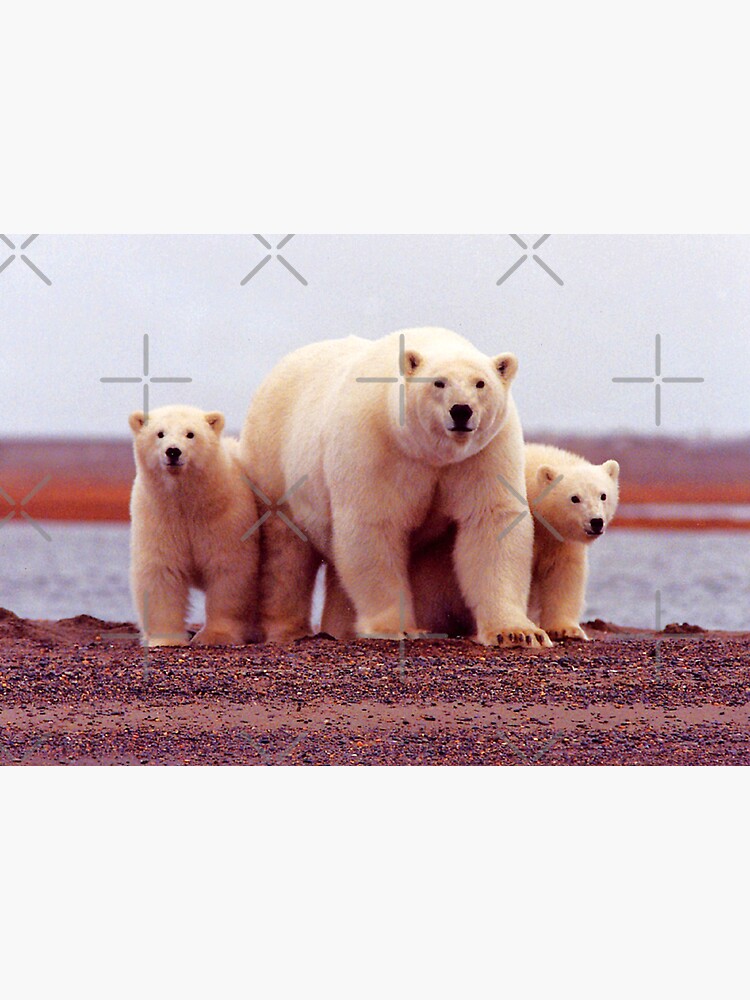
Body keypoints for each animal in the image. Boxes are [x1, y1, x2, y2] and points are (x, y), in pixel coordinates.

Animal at [129, 404, 260, 647]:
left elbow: (228, 570)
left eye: (190, 434)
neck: (188, 503)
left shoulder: (225, 517)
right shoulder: (158, 517)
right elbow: (161, 571)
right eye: (160, 433)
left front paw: (216, 636)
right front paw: (166, 639)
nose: (173, 451)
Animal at [239, 327, 551, 648]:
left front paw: (517, 632)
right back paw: (287, 630)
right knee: (286, 555)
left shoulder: (484, 453)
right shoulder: (378, 446)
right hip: (274, 464)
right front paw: (397, 627)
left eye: (480, 383)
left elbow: (491, 522)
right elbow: (374, 526)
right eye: (439, 382)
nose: (461, 411)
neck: (430, 453)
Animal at [367, 443, 620, 642]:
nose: (596, 522)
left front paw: (566, 630)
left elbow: (563, 574)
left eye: (603, 495)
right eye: (574, 498)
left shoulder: (558, 539)